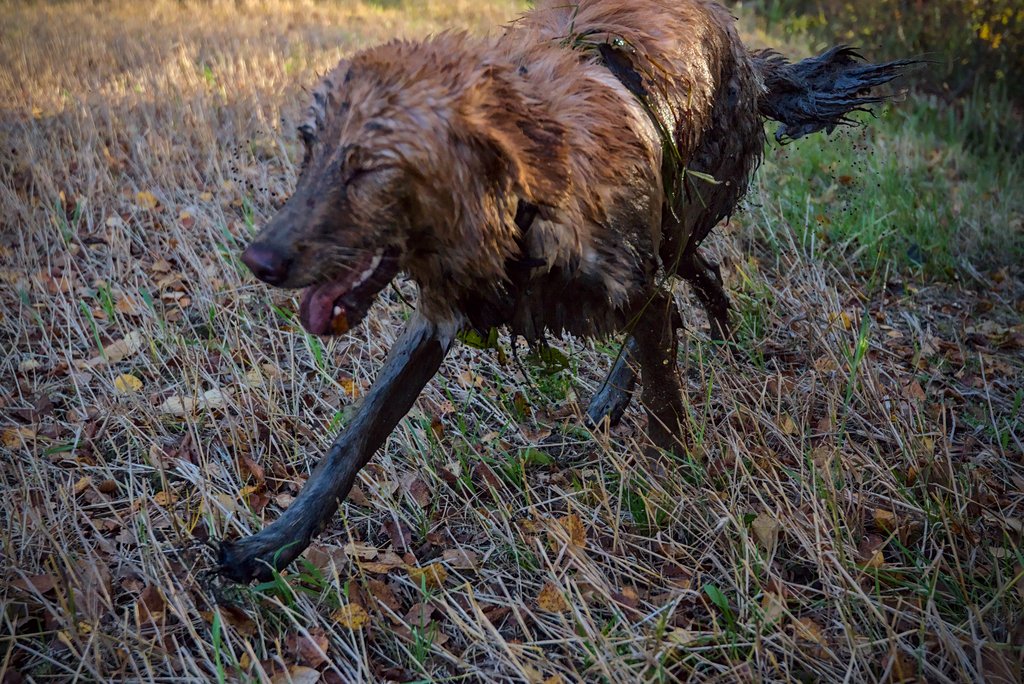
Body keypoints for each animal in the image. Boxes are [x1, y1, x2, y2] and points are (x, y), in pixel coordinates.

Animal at [218, 0, 913, 581]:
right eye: (308, 146)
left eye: (370, 168)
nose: (259, 260)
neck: (524, 203)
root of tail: (745, 52)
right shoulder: (437, 321)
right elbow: (355, 437)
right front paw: (274, 544)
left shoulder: (631, 286)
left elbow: (666, 411)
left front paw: (682, 495)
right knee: (701, 280)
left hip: (678, 216)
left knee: (678, 298)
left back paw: (635, 384)